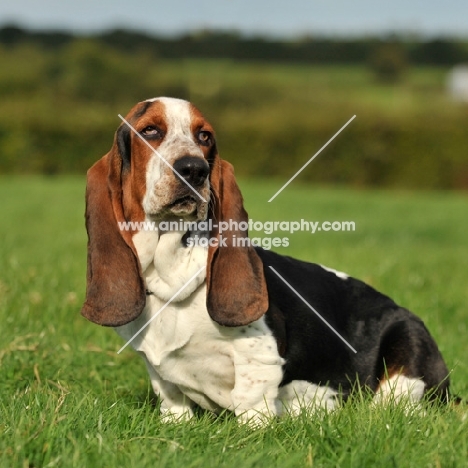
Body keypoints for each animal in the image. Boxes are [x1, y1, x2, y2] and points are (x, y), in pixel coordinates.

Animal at [82, 97, 452, 426]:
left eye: (205, 136)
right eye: (149, 131)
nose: (194, 169)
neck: (169, 273)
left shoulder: (259, 354)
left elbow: (250, 400)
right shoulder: (158, 369)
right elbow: (172, 400)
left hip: (407, 349)